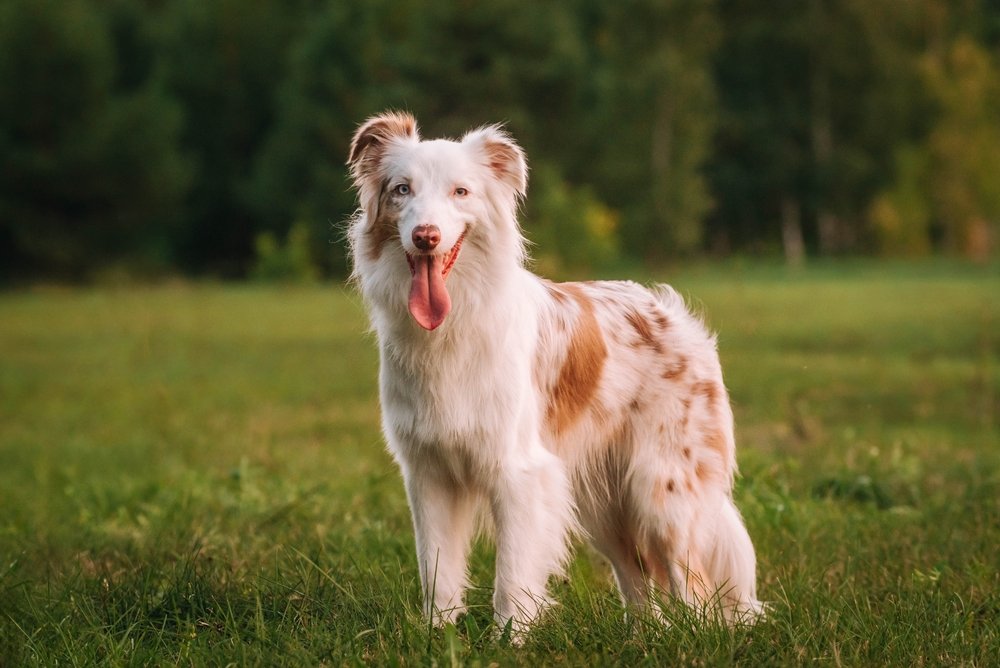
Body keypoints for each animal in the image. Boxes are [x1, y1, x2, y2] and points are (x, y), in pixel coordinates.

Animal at [348, 111, 760, 636]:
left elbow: (512, 571)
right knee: (638, 579)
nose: (426, 236)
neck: (453, 324)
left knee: (693, 586)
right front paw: (439, 634)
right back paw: (642, 638)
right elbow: (437, 569)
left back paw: (694, 637)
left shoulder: (517, 470)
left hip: (661, 491)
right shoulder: (428, 472)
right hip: (601, 502)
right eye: (402, 189)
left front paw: (509, 638)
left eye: (461, 192)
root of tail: (676, 317)